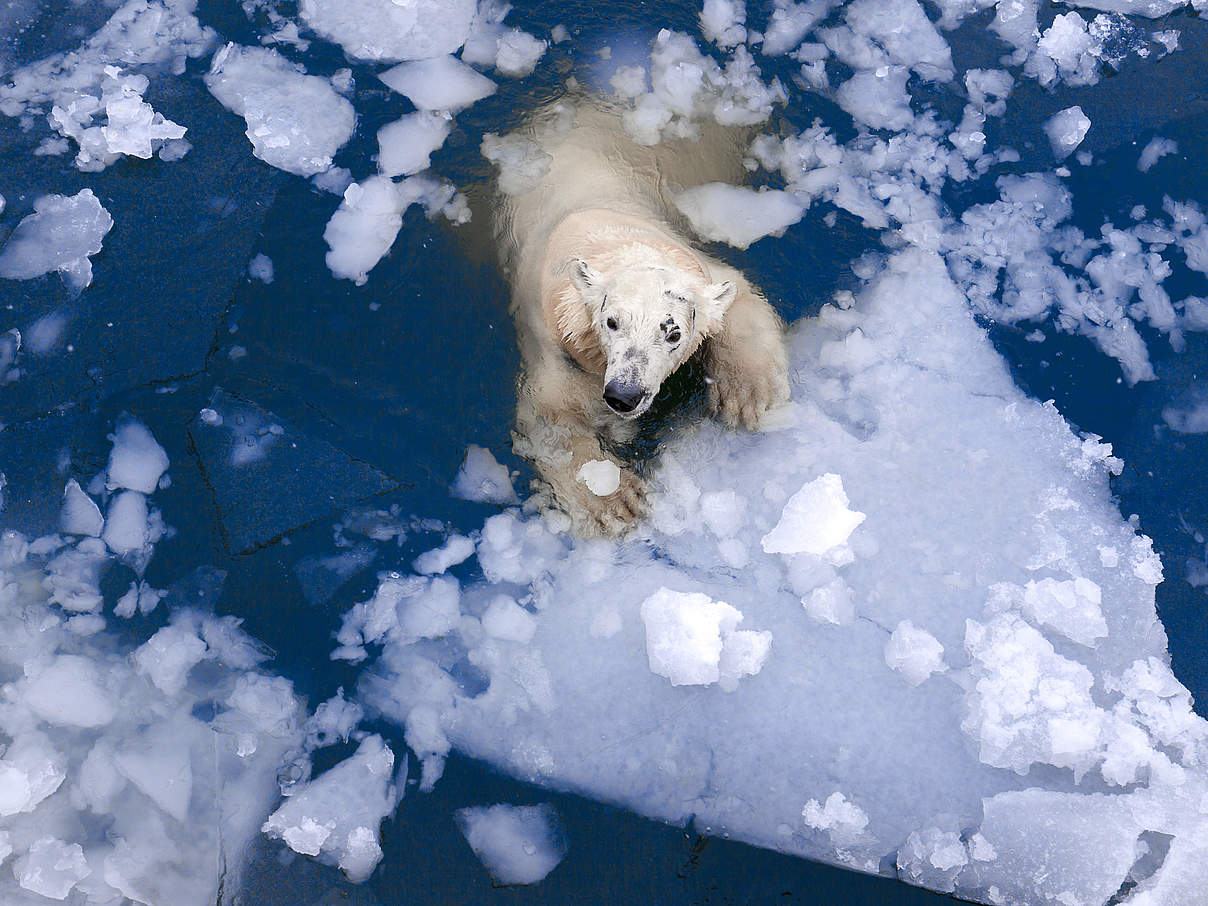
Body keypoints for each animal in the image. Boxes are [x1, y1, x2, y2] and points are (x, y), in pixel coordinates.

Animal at [492, 97, 787, 538]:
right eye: (611, 323)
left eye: (673, 333)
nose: (624, 395)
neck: (603, 235)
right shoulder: (555, 341)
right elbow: (551, 419)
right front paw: (615, 499)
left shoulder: (696, 265)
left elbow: (735, 298)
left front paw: (748, 394)